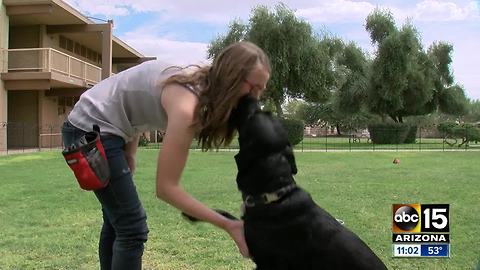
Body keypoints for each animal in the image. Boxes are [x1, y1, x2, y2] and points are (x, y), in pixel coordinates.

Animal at [184, 96, 386, 268]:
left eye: (252, 115)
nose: (249, 97)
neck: (275, 194)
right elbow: (225, 215)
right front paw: (192, 213)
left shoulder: (265, 263)